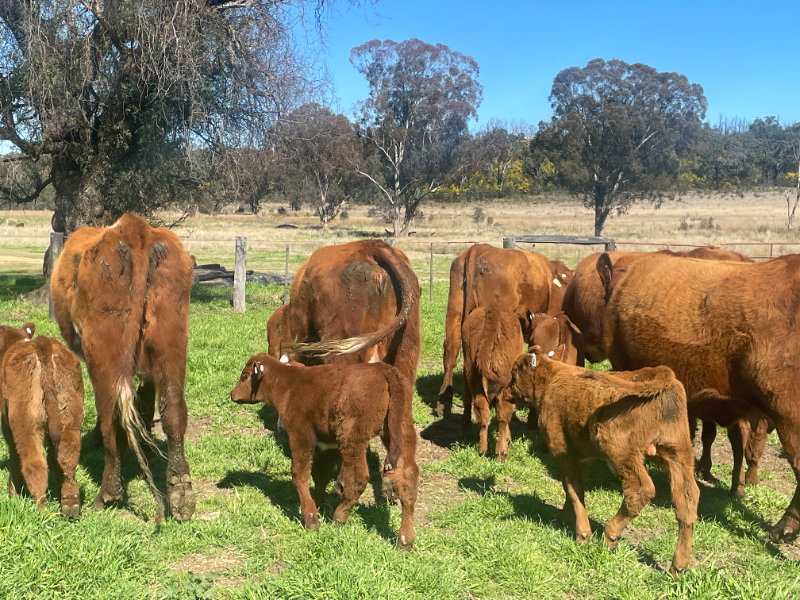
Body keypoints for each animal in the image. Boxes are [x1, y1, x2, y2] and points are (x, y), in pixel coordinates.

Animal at [0, 323, 84, 517]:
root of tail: (42, 345)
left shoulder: (6, 426)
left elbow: (14, 458)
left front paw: (13, 494)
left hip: (26, 425)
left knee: (34, 463)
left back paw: (39, 510)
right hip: (70, 419)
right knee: (67, 455)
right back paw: (69, 503)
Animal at [50, 213, 195, 523]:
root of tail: (135, 229)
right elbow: (148, 402)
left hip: (103, 354)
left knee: (111, 416)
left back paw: (108, 492)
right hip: (171, 342)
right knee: (174, 410)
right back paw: (181, 492)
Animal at [230, 353, 419, 549]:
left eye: (245, 376)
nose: (232, 394)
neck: (290, 384)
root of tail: (384, 370)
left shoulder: (301, 436)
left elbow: (299, 473)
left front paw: (312, 520)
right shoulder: (327, 444)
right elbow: (320, 474)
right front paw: (319, 505)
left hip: (352, 439)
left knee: (359, 479)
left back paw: (339, 518)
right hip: (401, 432)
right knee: (408, 478)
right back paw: (405, 541)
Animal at [460, 306, 523, 460]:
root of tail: (492, 310)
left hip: (472, 374)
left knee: (482, 410)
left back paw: (482, 450)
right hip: (505, 384)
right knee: (503, 415)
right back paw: (502, 453)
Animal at [505, 346, 699, 576]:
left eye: (514, 374)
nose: (505, 392)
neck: (552, 380)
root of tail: (662, 374)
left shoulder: (561, 449)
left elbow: (572, 488)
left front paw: (582, 536)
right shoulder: (582, 455)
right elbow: (575, 489)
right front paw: (564, 519)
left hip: (619, 450)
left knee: (641, 490)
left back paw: (611, 535)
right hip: (678, 454)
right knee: (687, 501)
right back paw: (679, 566)